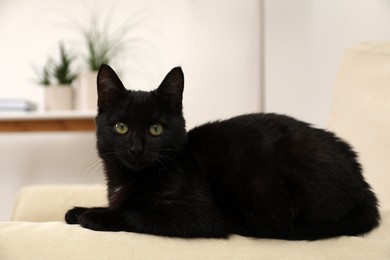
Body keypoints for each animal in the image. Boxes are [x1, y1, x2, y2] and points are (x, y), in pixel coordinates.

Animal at [65, 64, 380, 240]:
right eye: (121, 127)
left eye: (156, 129)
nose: (136, 148)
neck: (130, 178)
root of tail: (364, 186)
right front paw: (79, 210)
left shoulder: (197, 218)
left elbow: (135, 214)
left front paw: (94, 216)